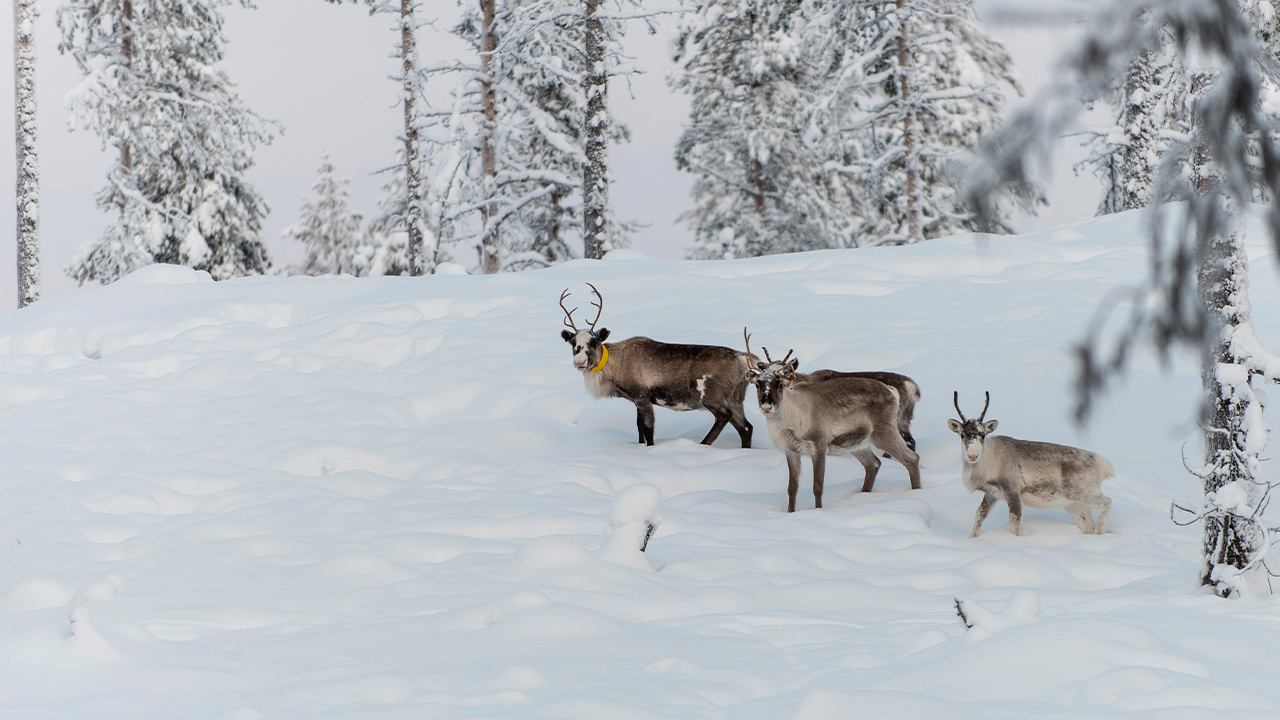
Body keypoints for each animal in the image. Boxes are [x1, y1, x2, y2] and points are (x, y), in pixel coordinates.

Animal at [559, 284, 753, 448]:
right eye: (573, 342)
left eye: (594, 341)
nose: (580, 362)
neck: (615, 365)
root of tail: (742, 359)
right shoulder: (636, 400)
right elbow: (639, 428)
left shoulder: (642, 396)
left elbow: (648, 429)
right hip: (735, 399)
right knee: (746, 428)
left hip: (711, 396)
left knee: (724, 416)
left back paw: (703, 444)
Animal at [744, 332, 921, 511]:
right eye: (758, 383)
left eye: (780, 382)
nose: (767, 406)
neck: (790, 421)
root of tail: (892, 391)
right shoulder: (791, 450)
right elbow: (792, 488)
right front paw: (791, 512)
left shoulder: (819, 444)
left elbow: (817, 487)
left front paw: (818, 511)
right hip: (858, 443)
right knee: (873, 464)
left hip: (884, 432)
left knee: (911, 458)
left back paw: (916, 493)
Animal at [949, 392, 1114, 537]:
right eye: (962, 434)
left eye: (982, 434)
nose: (972, 455)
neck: (987, 461)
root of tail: (1103, 465)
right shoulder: (991, 493)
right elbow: (979, 515)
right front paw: (971, 538)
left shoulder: (1013, 491)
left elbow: (1014, 524)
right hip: (1074, 505)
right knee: (1088, 526)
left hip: (1079, 492)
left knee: (1105, 502)